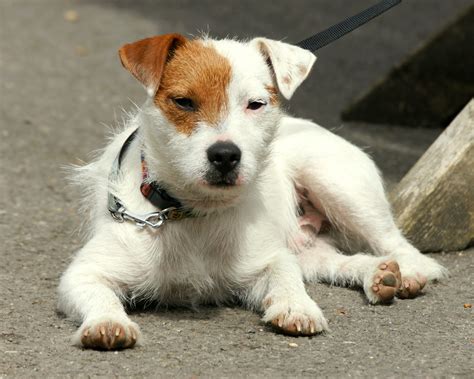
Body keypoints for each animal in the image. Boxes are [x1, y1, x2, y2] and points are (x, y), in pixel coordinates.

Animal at [57, 35, 446, 350]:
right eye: (183, 102)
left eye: (256, 104)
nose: (225, 155)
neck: (195, 213)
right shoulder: (85, 272)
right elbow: (97, 293)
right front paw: (108, 323)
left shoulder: (270, 257)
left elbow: (285, 277)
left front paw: (296, 306)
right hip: (307, 243)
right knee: (336, 260)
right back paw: (378, 274)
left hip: (339, 187)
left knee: (398, 243)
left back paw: (409, 272)